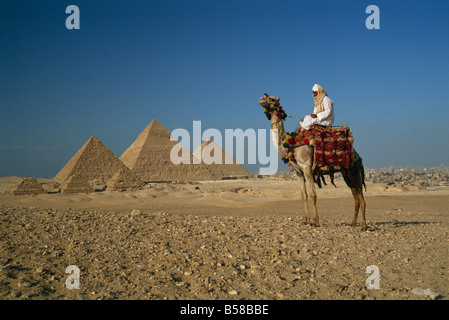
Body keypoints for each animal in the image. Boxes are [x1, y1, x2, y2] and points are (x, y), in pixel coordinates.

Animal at [258, 94, 366, 230]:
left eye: (272, 99)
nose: (261, 99)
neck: (291, 144)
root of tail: (358, 156)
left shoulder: (307, 167)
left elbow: (312, 194)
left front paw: (315, 221)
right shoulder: (298, 172)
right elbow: (303, 195)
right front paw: (306, 220)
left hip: (355, 169)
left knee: (361, 198)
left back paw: (364, 226)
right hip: (347, 173)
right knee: (356, 197)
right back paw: (353, 223)